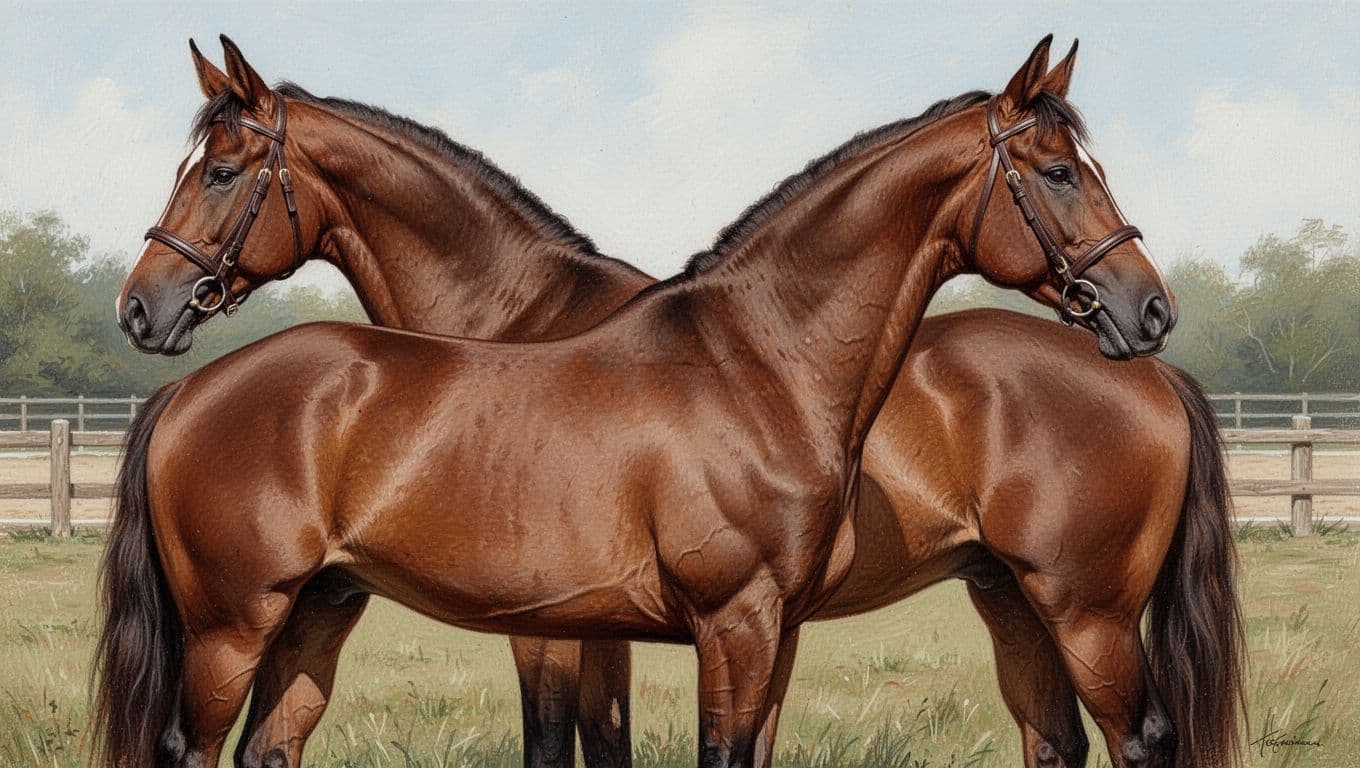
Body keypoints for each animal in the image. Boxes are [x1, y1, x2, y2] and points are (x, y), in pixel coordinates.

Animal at [111, 37, 1240, 768]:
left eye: (218, 171)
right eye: (1057, 172)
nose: (1146, 305)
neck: (755, 362)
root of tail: (184, 392)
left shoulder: (756, 630)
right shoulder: (709, 627)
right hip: (237, 624)